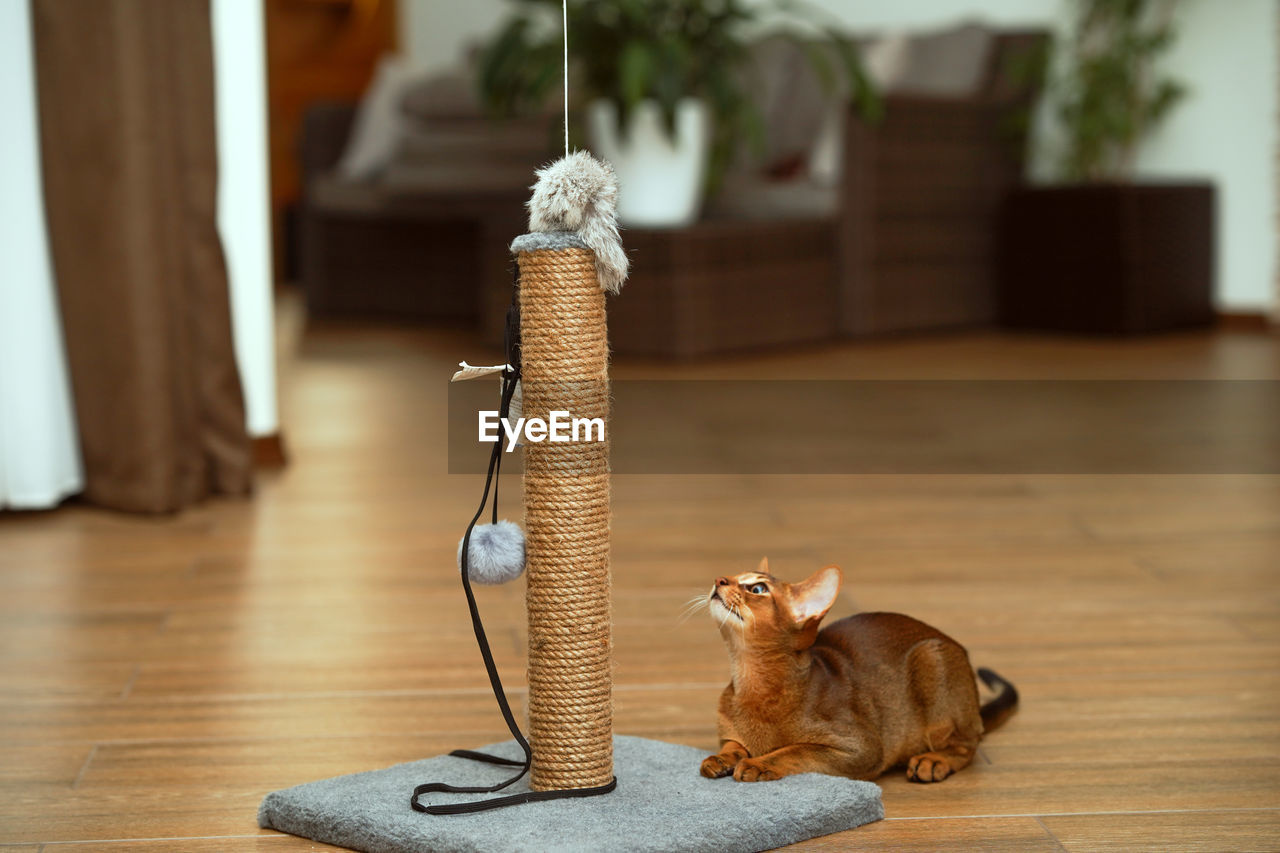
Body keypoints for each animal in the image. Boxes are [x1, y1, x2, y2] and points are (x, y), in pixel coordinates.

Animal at [696, 558, 1013, 783]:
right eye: (735, 576)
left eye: (757, 589)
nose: (719, 579)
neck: (752, 679)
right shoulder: (730, 731)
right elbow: (733, 743)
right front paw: (722, 758)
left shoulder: (861, 748)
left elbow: (796, 749)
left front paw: (759, 763)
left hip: (932, 659)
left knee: (969, 744)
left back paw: (933, 761)